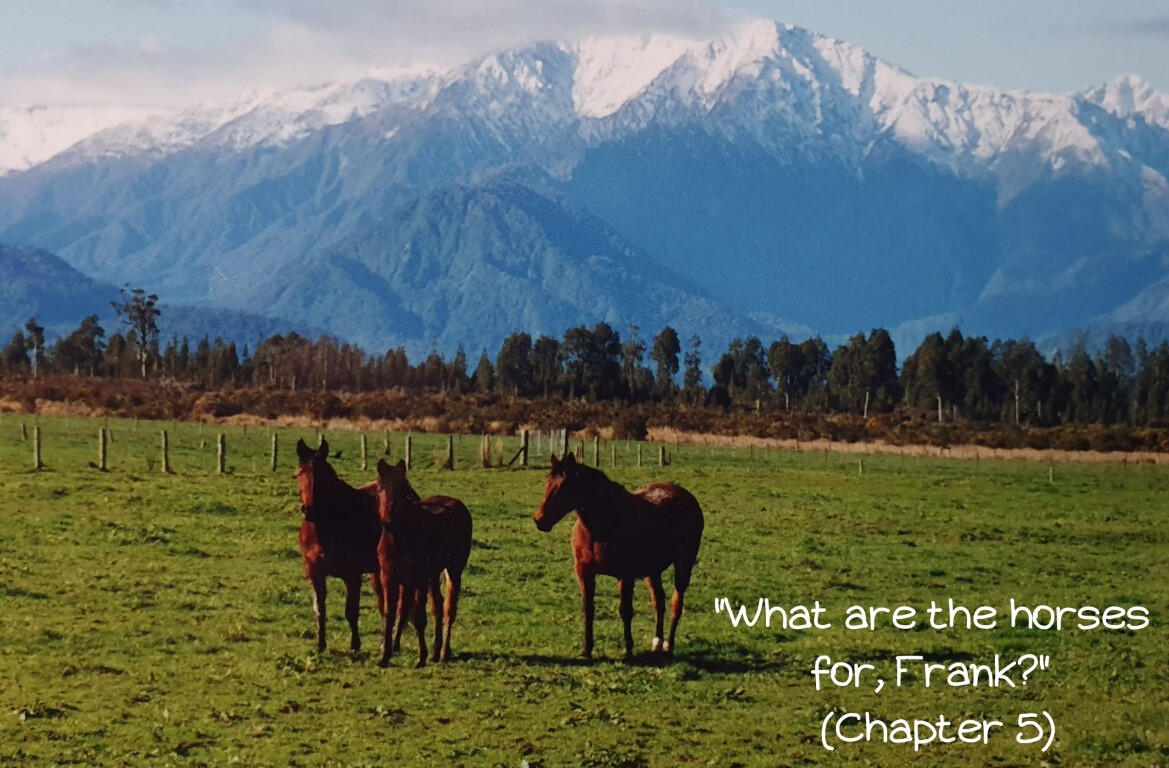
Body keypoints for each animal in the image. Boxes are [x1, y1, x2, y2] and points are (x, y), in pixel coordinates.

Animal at [295, 438, 384, 653]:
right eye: (299, 474)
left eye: (324, 475)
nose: (308, 510)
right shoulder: (315, 572)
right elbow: (320, 609)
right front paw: (320, 645)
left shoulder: (352, 575)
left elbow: (351, 610)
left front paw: (355, 644)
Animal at [374, 458, 473, 668]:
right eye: (380, 488)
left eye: (403, 488)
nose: (387, 521)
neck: (398, 537)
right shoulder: (389, 577)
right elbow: (390, 613)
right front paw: (385, 656)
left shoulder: (416, 578)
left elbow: (418, 617)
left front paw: (421, 657)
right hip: (433, 575)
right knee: (437, 606)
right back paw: (436, 652)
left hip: (453, 570)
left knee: (449, 609)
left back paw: (443, 653)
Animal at [533, 451, 703, 660]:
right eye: (547, 482)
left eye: (565, 485)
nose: (539, 520)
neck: (603, 523)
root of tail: (685, 495)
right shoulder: (584, 572)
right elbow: (588, 609)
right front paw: (586, 650)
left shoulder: (626, 575)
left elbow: (625, 610)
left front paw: (628, 650)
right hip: (652, 571)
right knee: (659, 602)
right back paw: (656, 643)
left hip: (683, 564)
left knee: (676, 604)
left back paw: (668, 646)